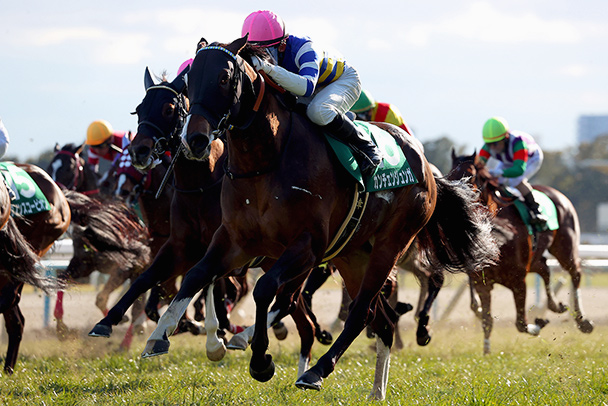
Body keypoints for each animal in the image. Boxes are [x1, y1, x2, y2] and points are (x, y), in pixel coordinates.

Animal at [143, 37, 497, 400]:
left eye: (224, 77)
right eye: (189, 83)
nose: (195, 140)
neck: (266, 160)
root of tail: (425, 164)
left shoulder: (305, 246)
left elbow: (265, 290)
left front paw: (260, 360)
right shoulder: (233, 240)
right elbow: (197, 276)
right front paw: (161, 336)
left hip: (390, 244)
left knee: (360, 311)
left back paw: (315, 372)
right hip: (352, 254)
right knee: (381, 319)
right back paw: (376, 391)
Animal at [449, 151, 594, 354]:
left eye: (470, 175)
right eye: (449, 175)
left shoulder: (519, 280)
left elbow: (521, 324)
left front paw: (540, 322)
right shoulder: (482, 283)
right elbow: (487, 321)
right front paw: (486, 352)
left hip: (565, 247)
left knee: (575, 273)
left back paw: (582, 321)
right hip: (535, 259)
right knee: (545, 269)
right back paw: (555, 305)